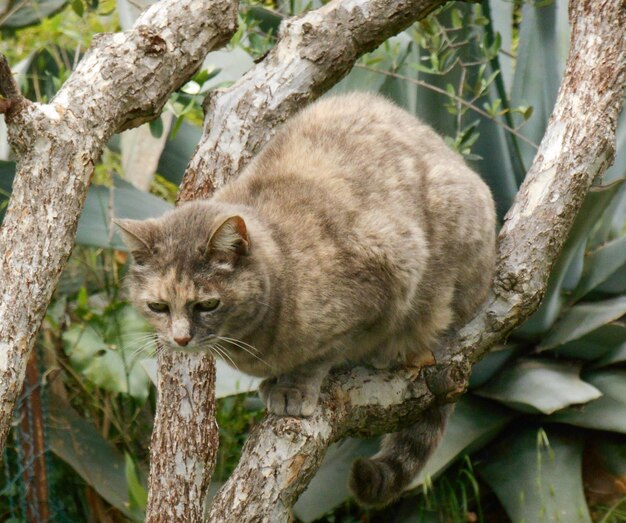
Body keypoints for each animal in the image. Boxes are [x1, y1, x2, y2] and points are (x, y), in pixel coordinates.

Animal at [117, 92, 494, 510]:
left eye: (207, 305)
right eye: (158, 306)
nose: (180, 338)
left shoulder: (388, 274)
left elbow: (321, 354)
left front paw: (293, 388)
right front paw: (275, 382)